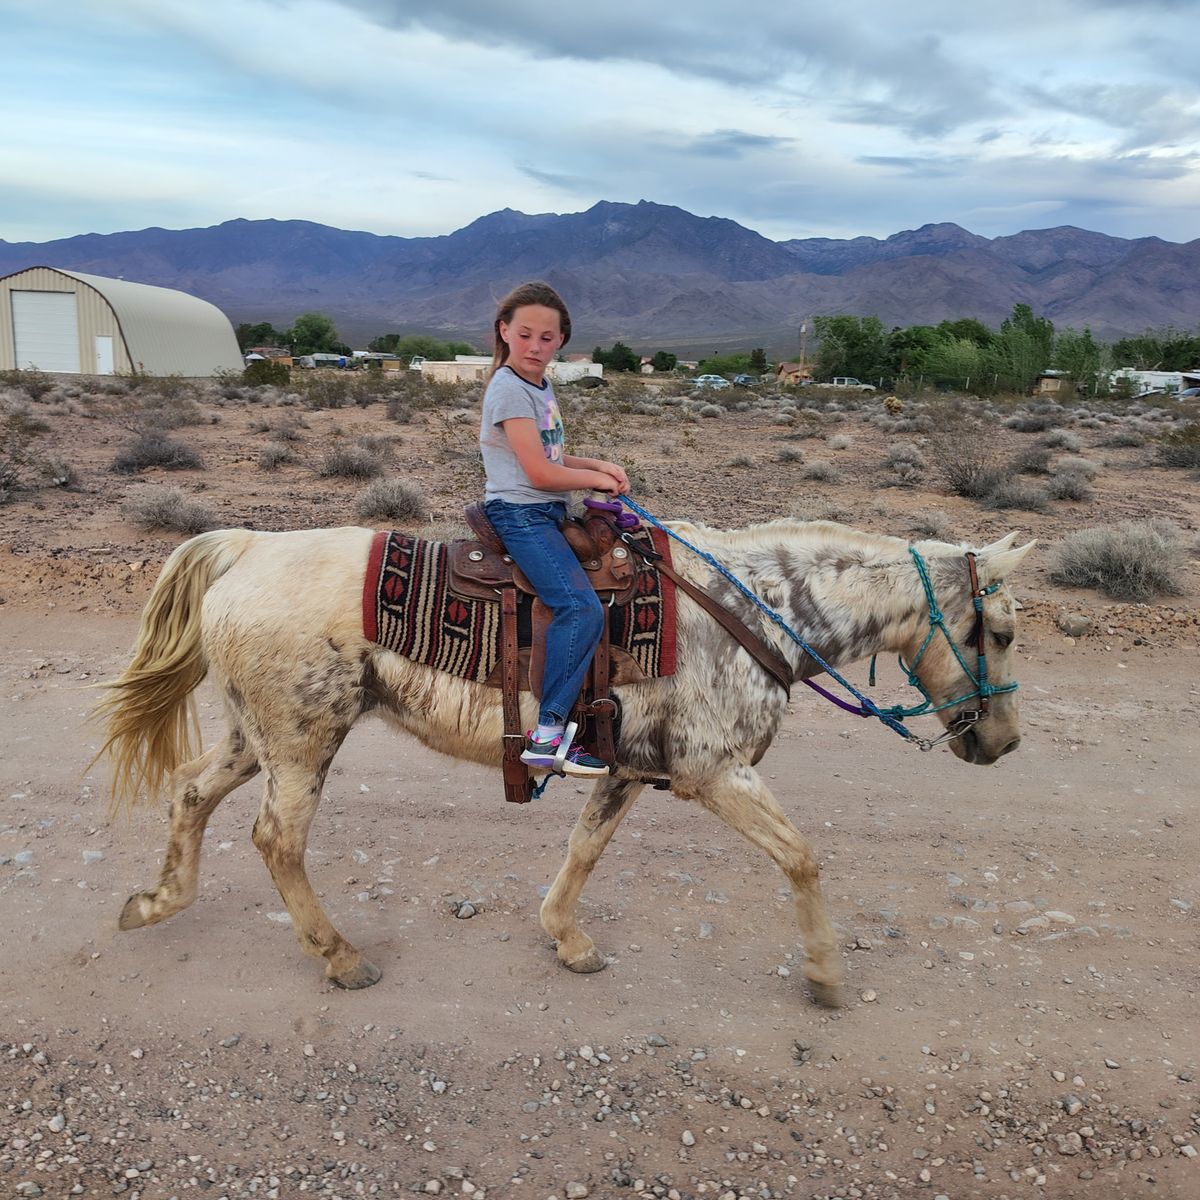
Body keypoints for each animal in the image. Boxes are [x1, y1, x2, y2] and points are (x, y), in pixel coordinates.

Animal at [93, 517, 1034, 1006]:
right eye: (1002, 631)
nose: (1005, 743)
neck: (750, 612)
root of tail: (247, 546)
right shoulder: (715, 773)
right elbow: (801, 857)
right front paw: (827, 977)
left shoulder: (628, 768)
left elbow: (586, 848)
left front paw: (567, 938)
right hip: (301, 740)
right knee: (277, 841)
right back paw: (342, 957)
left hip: (256, 736)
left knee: (191, 795)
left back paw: (153, 903)